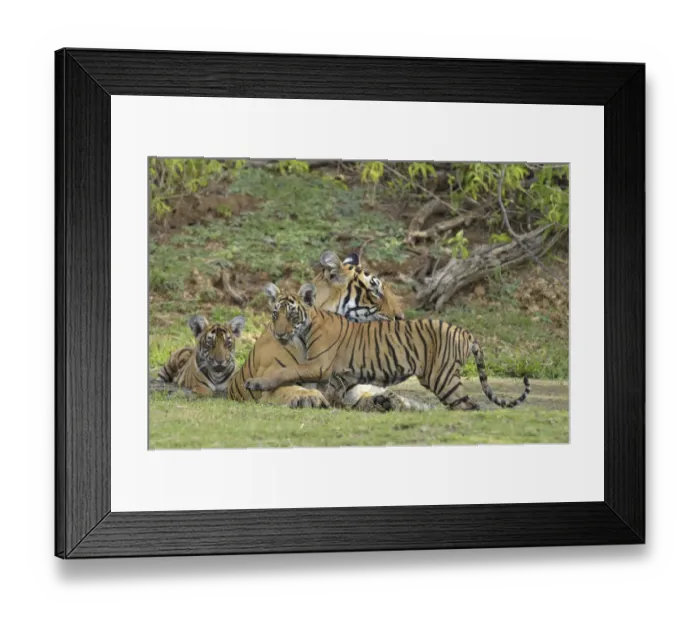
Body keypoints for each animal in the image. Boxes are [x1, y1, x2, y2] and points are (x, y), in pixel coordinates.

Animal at [226, 250, 422, 410]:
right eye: (375, 292)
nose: (401, 317)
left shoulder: (349, 390)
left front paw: (387, 400)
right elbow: (285, 386)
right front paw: (308, 397)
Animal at [242, 282, 531, 411]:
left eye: (291, 315)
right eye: (275, 315)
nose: (279, 333)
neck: (306, 329)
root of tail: (464, 331)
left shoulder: (318, 364)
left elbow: (286, 372)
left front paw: (256, 383)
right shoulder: (342, 373)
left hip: (443, 378)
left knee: (467, 405)